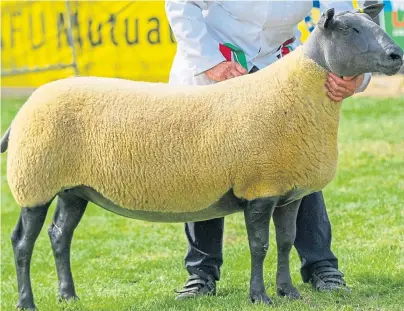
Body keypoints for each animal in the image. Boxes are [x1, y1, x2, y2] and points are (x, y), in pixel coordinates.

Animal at [1, 6, 402, 310]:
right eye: (350, 29)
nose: (396, 56)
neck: (296, 93)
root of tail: (23, 112)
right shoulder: (259, 188)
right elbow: (259, 246)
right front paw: (260, 297)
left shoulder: (288, 191)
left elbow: (286, 242)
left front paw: (289, 292)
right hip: (34, 181)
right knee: (22, 242)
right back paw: (27, 302)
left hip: (72, 188)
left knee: (59, 236)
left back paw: (69, 296)